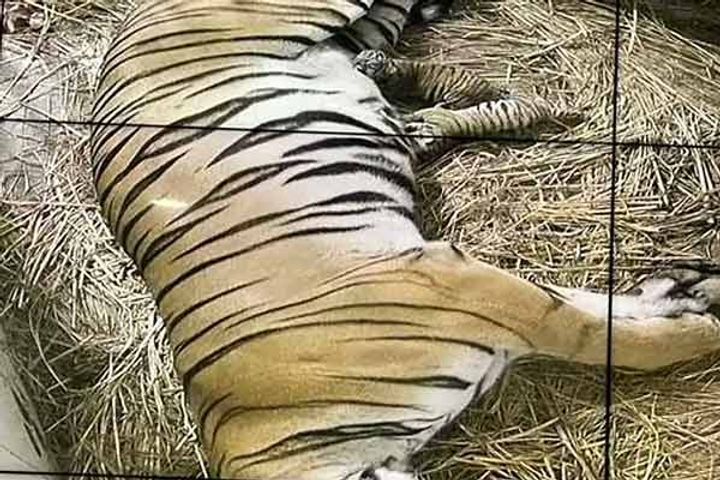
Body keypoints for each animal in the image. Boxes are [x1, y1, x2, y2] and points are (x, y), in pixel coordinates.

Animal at [89, 1, 720, 479]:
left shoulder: (457, 280)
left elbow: (610, 336)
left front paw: (701, 325)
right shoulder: (482, 298)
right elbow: (604, 315)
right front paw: (683, 297)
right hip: (354, 35)